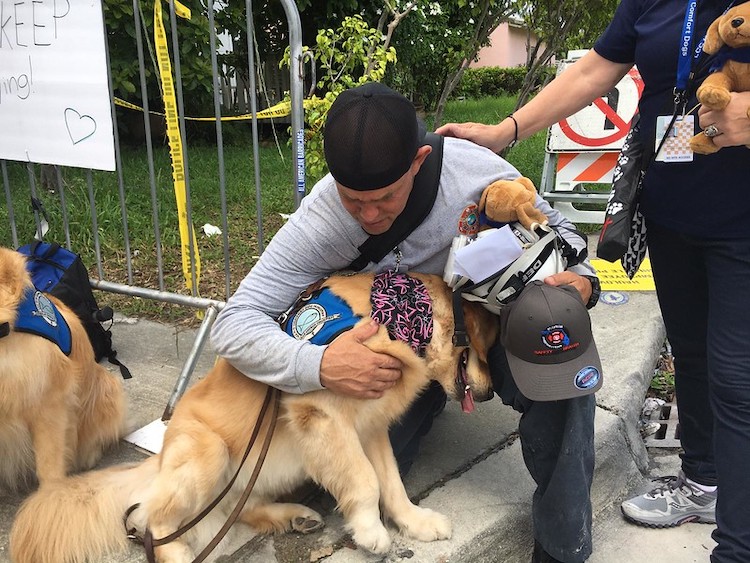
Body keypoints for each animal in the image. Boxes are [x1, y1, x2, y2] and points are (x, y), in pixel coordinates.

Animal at [10, 270, 500, 560]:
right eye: (485, 348)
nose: (492, 391)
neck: (398, 316)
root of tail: (159, 459)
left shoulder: (370, 428)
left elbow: (392, 484)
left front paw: (415, 522)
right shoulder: (321, 413)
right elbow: (365, 482)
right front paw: (369, 531)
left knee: (238, 507)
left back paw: (294, 516)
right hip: (208, 452)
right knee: (154, 521)